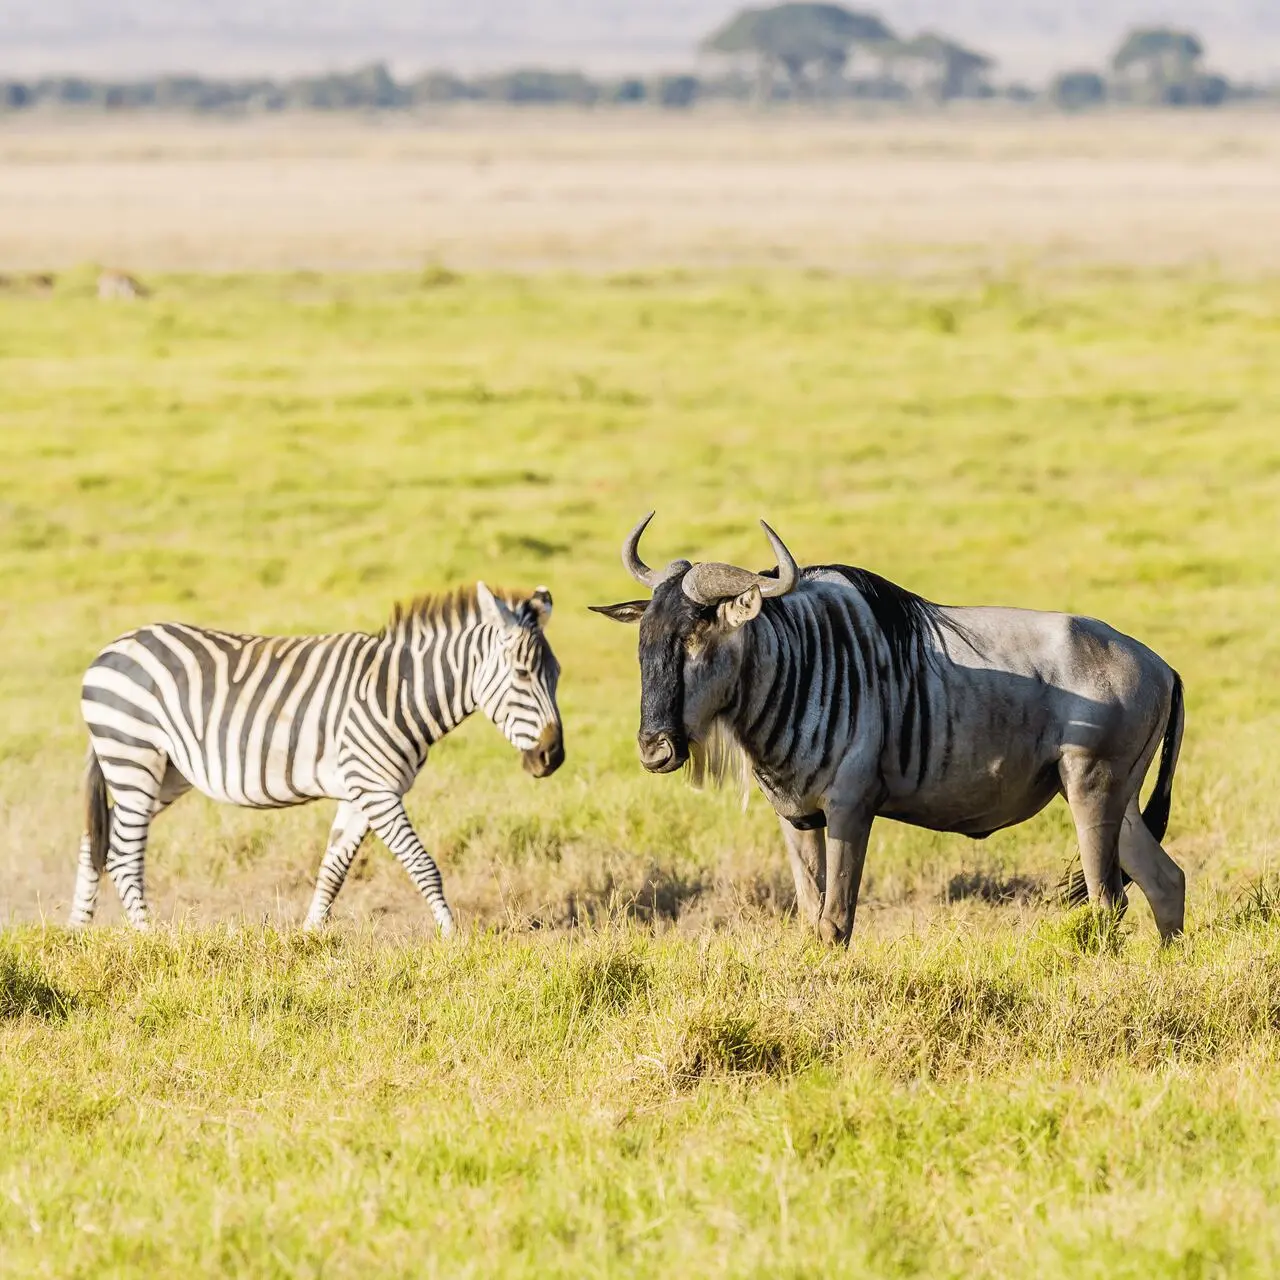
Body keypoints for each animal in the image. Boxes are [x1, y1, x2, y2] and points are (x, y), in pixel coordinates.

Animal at [71, 583, 563, 934]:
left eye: (556, 675)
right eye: (522, 674)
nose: (552, 757)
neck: (397, 692)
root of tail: (109, 649)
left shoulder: (362, 793)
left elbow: (333, 870)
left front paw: (308, 938)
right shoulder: (376, 789)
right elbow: (423, 865)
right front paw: (452, 939)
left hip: (163, 772)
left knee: (97, 840)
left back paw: (77, 933)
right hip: (134, 757)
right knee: (123, 855)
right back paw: (150, 938)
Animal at [592, 514, 1186, 945]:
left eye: (696, 636)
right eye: (645, 639)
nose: (655, 750)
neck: (800, 663)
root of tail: (1161, 665)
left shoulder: (851, 810)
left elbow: (835, 921)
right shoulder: (797, 818)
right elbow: (809, 918)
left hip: (1091, 791)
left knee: (1109, 900)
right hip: (1115, 800)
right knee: (1165, 882)